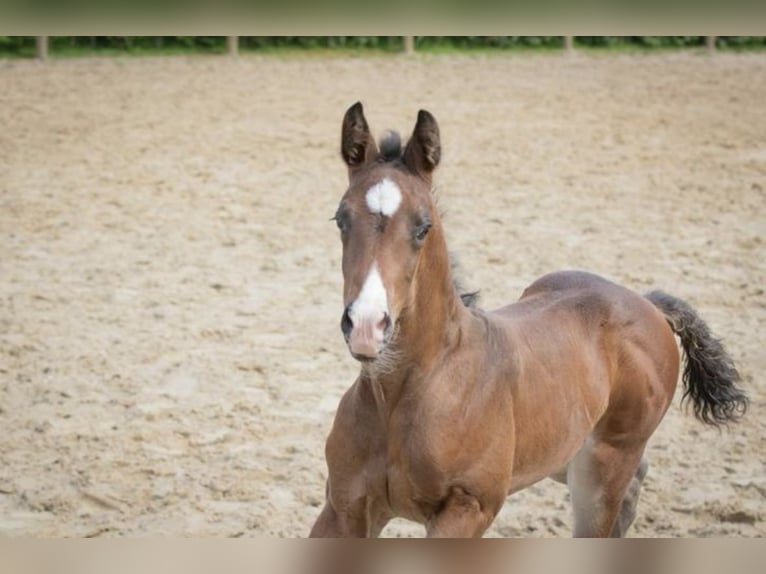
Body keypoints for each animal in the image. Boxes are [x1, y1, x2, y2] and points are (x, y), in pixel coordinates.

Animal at [308, 103, 752, 540]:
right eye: (341, 219)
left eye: (423, 227)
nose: (367, 326)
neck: (405, 393)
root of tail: (647, 303)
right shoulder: (343, 509)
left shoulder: (469, 508)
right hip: (562, 454)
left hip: (601, 470)